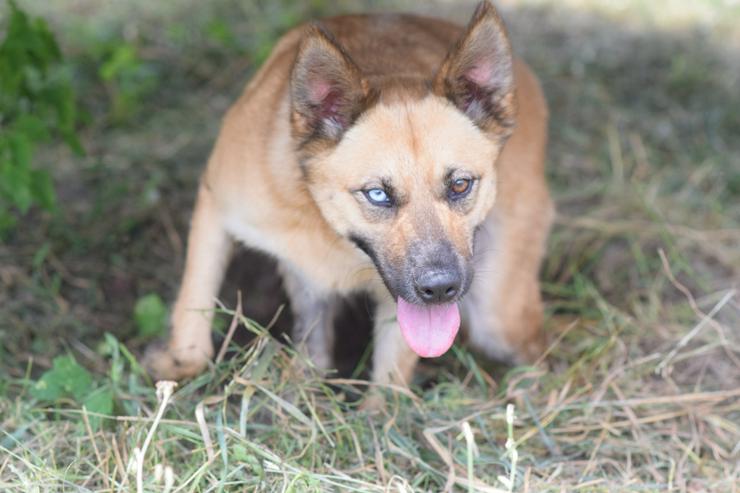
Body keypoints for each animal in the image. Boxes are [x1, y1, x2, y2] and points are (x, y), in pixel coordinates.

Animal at [146, 0, 548, 392]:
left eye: (460, 185)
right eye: (378, 194)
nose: (440, 290)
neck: (326, 227)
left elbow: (390, 384)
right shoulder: (215, 204)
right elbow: (194, 303)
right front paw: (178, 364)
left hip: (498, 317)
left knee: (536, 350)